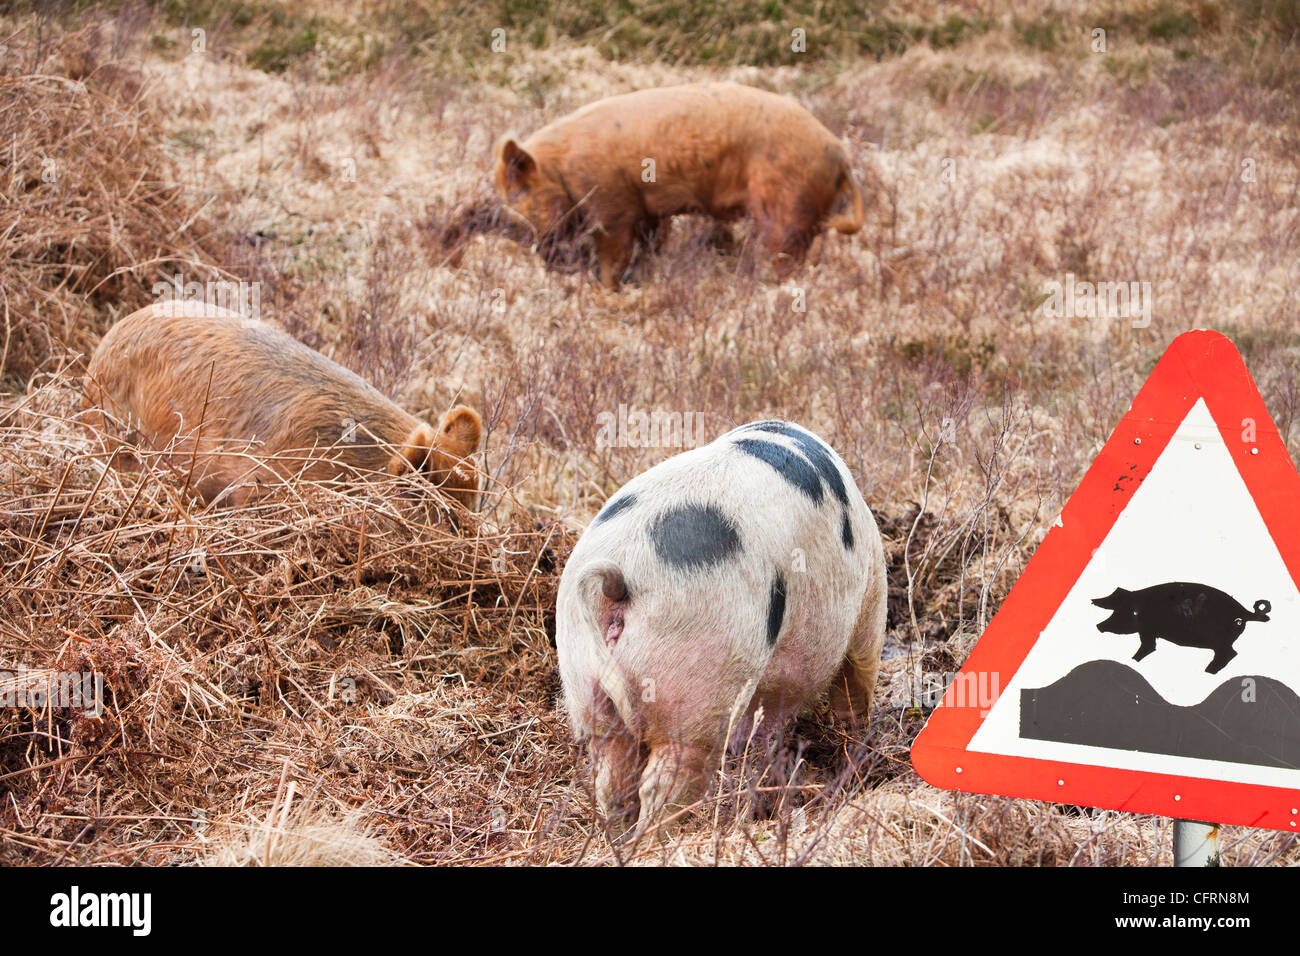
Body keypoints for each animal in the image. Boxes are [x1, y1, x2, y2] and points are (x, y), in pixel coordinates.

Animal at [491, 82, 868, 287]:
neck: (563, 168)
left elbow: (614, 253)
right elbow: (653, 244)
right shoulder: (649, 209)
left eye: (524, 194)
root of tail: (840, 156)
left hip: (788, 205)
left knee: (787, 256)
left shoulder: (614, 205)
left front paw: (605, 289)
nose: (548, 258)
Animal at [553, 418, 889, 837]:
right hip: (697, 682)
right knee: (663, 784)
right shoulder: (871, 599)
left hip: (583, 678)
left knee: (612, 777)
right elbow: (857, 682)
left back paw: (618, 838)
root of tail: (619, 576)